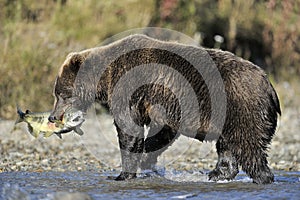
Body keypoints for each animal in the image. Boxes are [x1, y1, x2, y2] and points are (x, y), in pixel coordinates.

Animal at [49, 33, 282, 184]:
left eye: (61, 94)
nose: (52, 116)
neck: (105, 76)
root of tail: (269, 85)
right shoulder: (160, 106)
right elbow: (161, 132)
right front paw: (145, 160)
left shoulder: (128, 86)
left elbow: (128, 127)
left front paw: (122, 174)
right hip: (227, 117)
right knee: (227, 147)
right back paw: (216, 174)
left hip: (241, 106)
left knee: (248, 146)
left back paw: (263, 178)